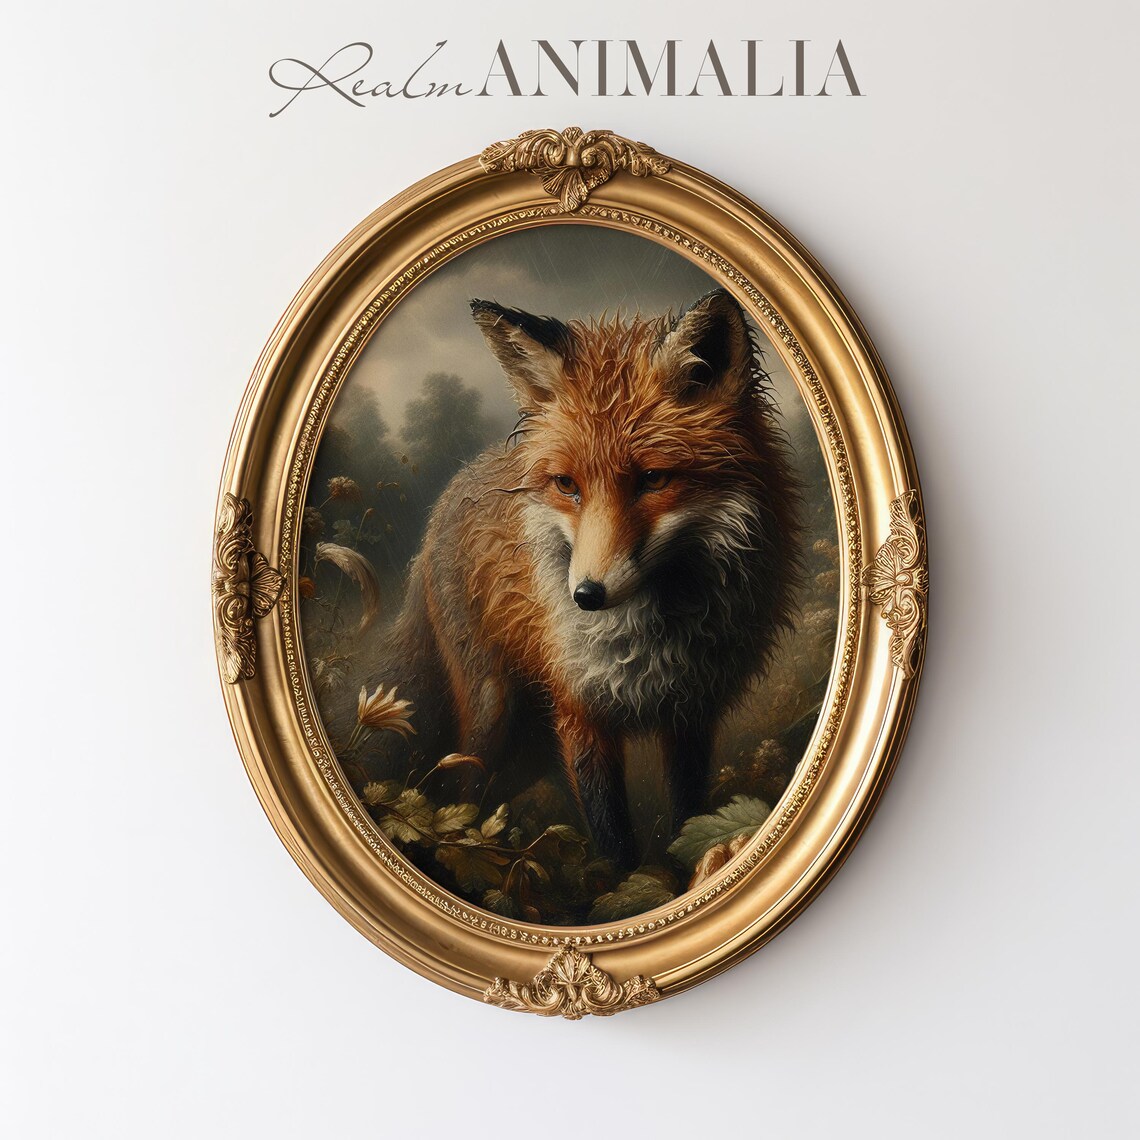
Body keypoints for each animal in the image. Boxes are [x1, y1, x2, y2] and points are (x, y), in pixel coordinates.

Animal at [378, 288, 802, 869]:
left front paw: (681, 871)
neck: (650, 641)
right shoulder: (579, 706)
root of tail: (450, 493)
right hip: (493, 710)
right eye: (567, 485)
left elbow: (686, 813)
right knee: (460, 785)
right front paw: (622, 883)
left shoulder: (691, 712)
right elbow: (611, 835)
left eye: (653, 479)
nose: (585, 596)